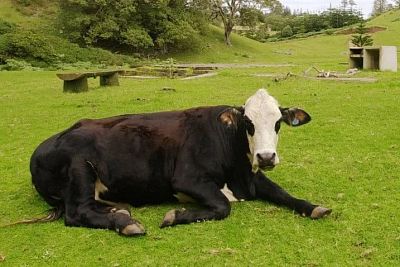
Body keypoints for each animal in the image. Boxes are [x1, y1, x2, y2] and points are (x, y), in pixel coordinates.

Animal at [29, 89, 332, 237]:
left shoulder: (254, 177)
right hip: (80, 167)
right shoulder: (187, 179)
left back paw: (119, 212)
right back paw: (126, 223)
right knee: (76, 213)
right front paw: (175, 216)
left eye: (278, 122)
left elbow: (283, 193)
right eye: (248, 122)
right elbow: (222, 207)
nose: (266, 157)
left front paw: (314, 207)